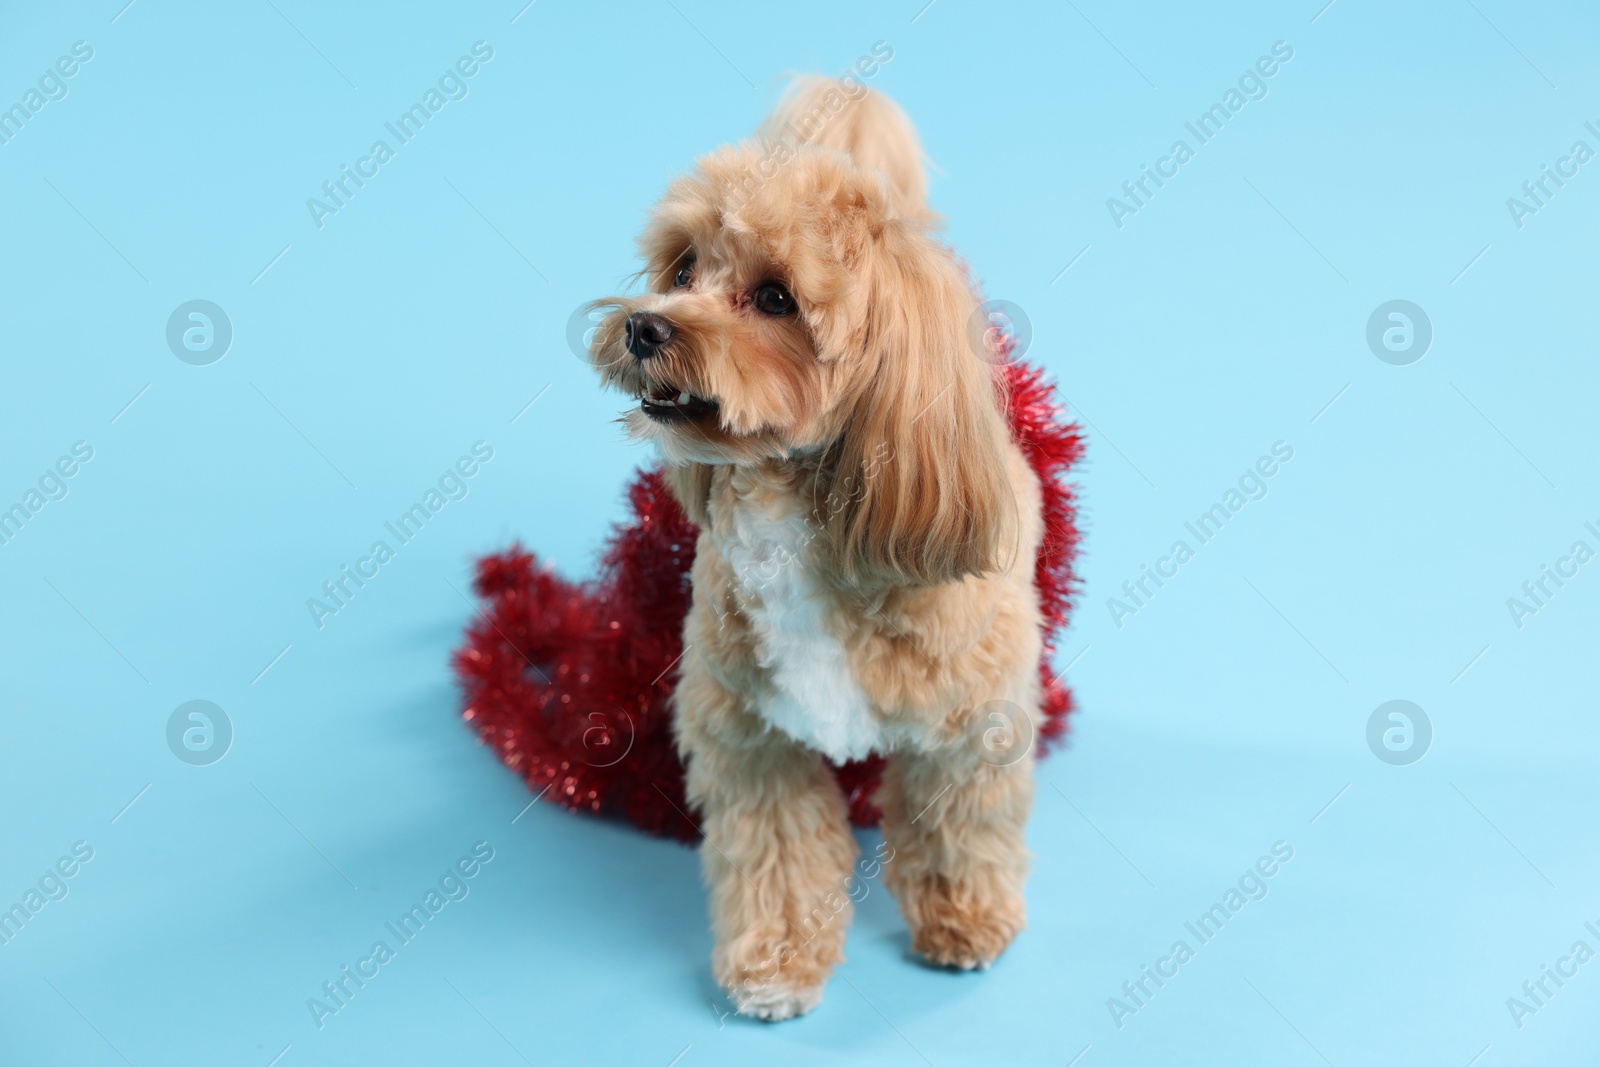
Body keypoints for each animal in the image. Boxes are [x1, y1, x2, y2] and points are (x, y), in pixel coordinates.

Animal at [588, 79, 1049, 1023]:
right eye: (682, 269)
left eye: (774, 299)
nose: (645, 327)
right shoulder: (751, 733)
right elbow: (777, 856)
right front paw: (775, 961)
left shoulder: (968, 723)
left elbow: (960, 826)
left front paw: (964, 919)